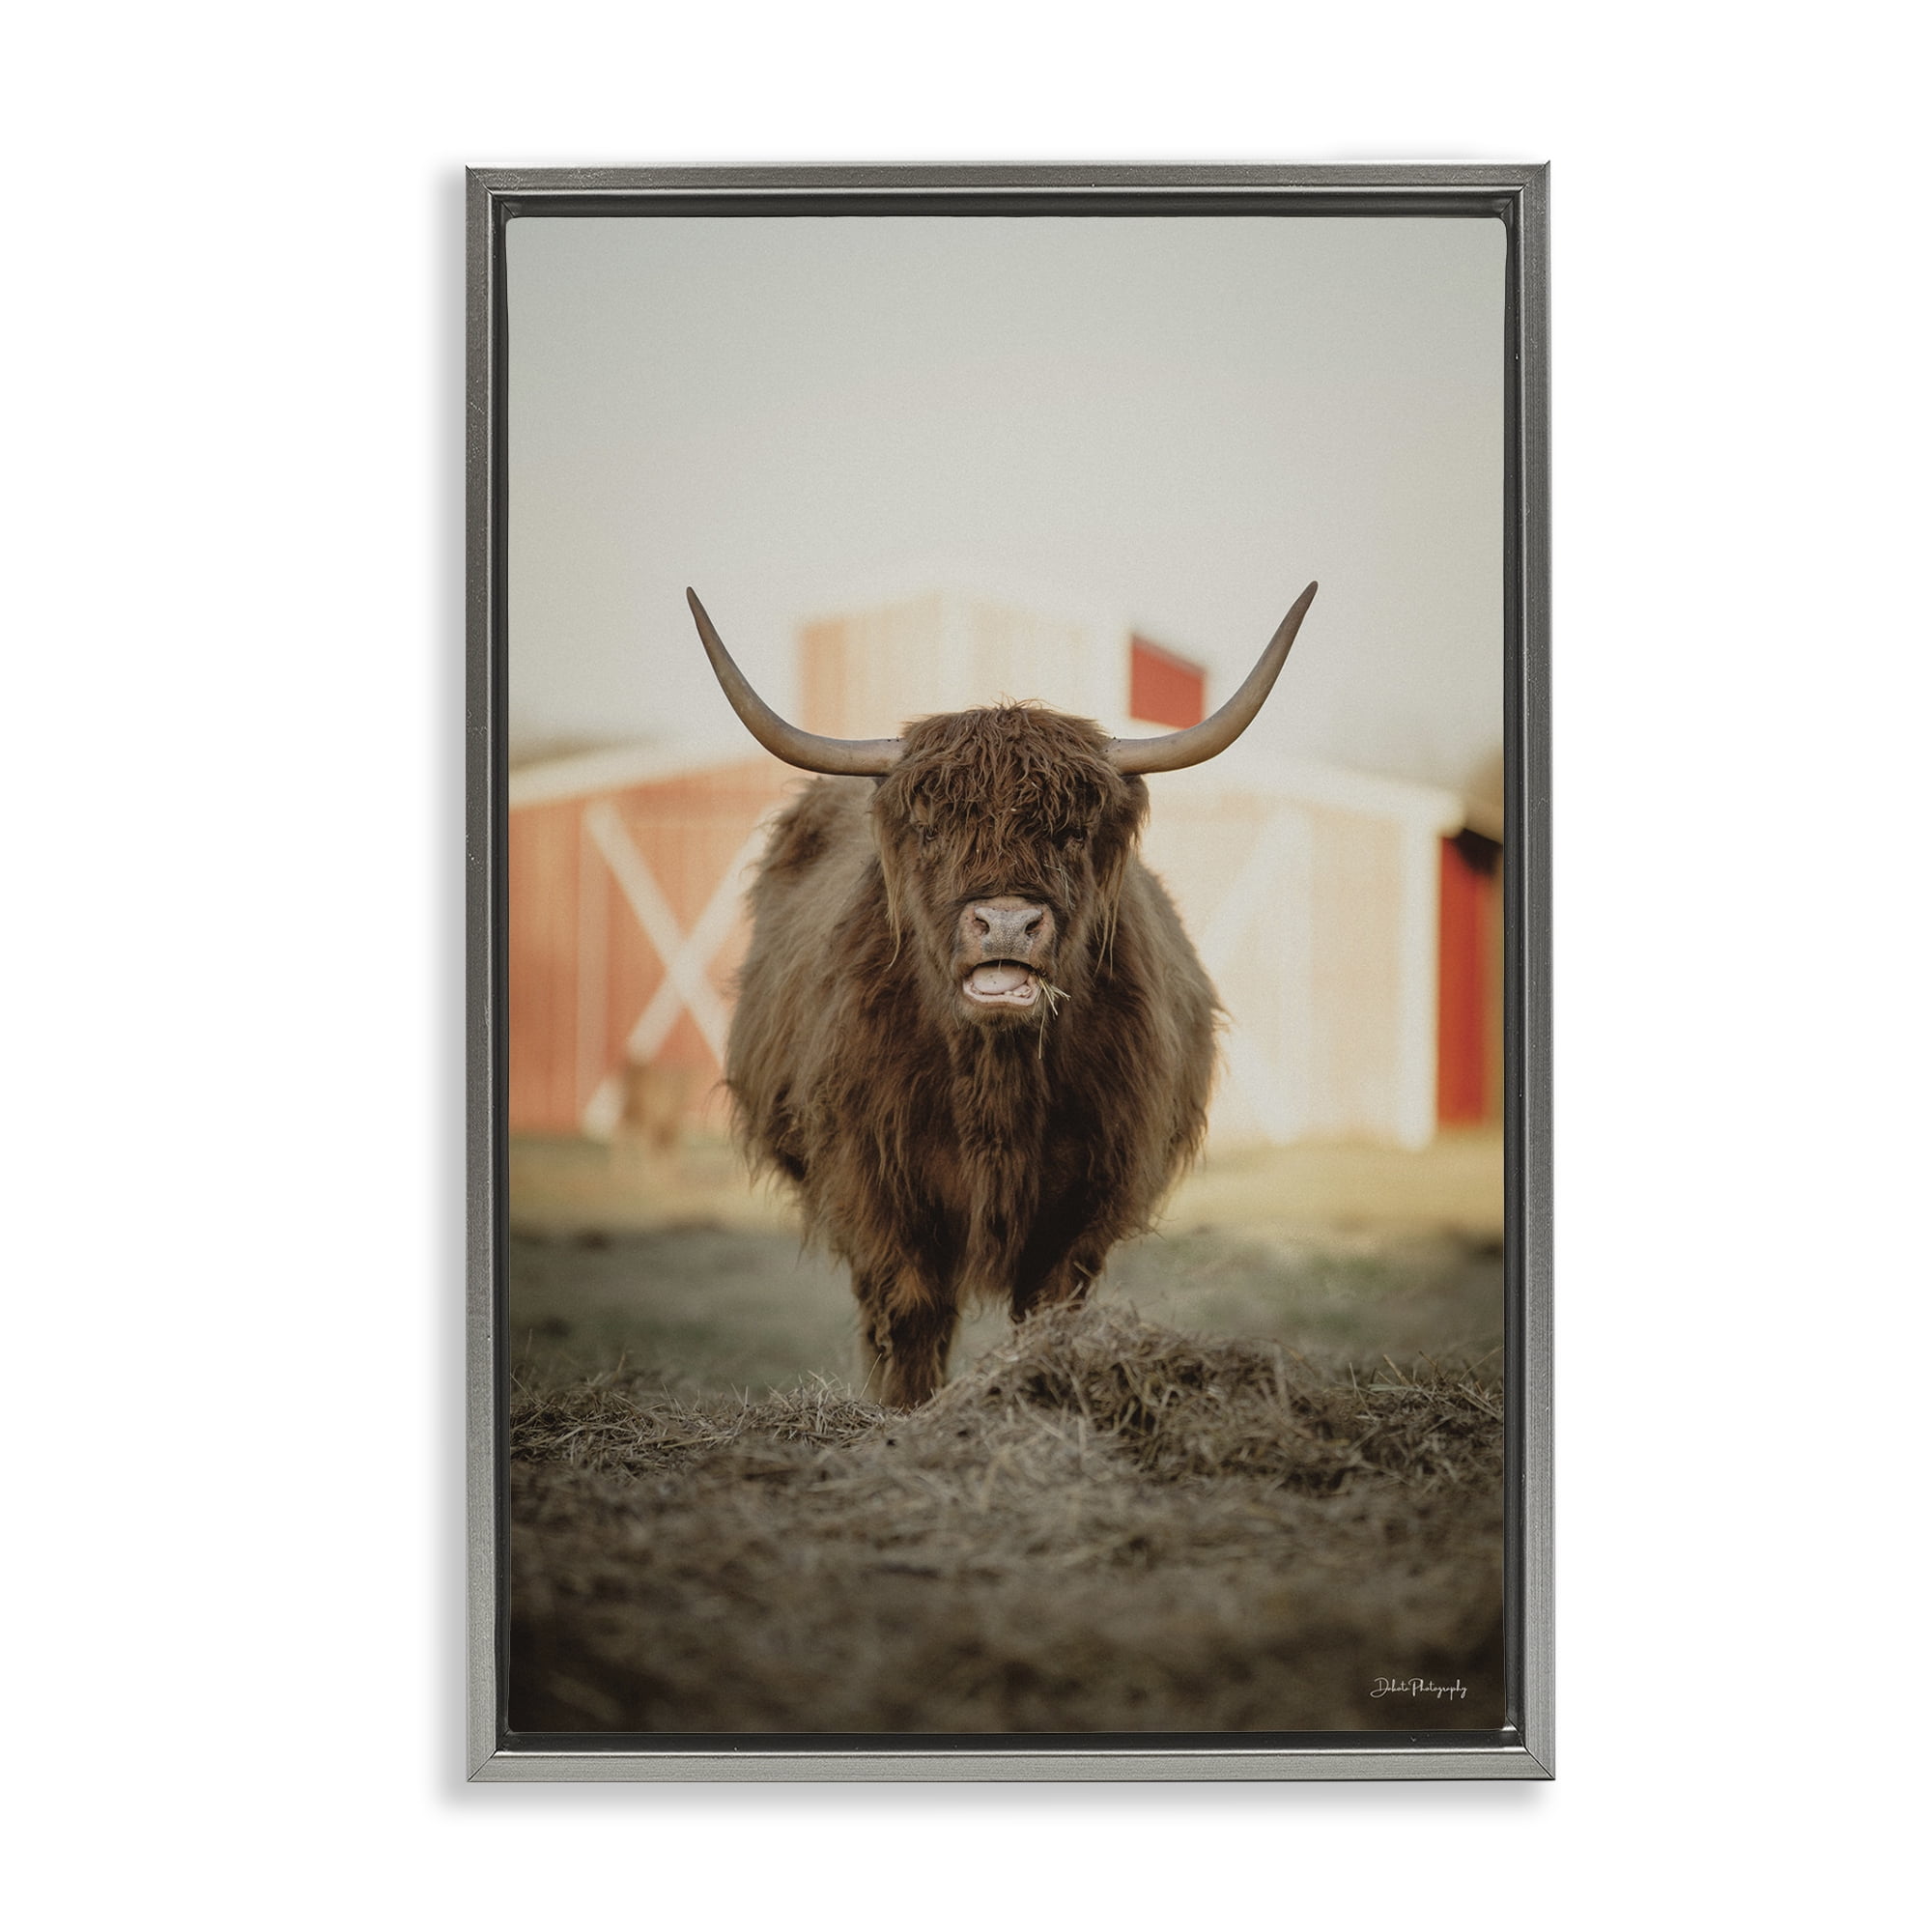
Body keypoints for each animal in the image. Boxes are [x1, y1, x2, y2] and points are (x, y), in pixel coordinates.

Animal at [686, 582, 1319, 1406]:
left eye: (1072, 832)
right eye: (930, 828)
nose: (1008, 922)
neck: (995, 1084)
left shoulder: (1086, 1196)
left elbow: (1047, 1308)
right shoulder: (873, 1180)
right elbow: (910, 1312)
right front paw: (910, 1412)